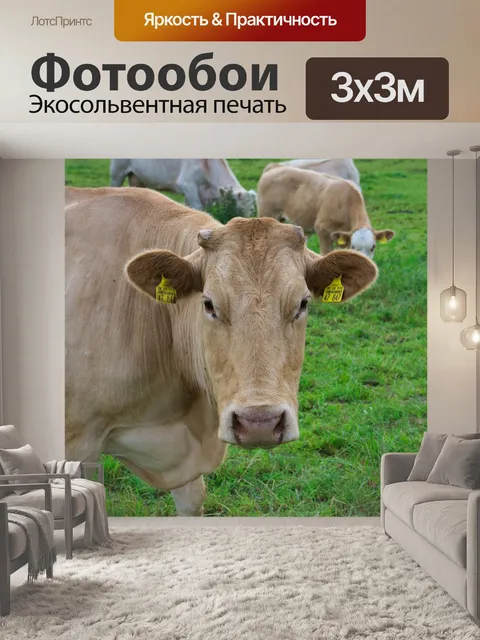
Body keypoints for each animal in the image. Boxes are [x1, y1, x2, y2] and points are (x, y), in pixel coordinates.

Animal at [109, 158, 257, 217]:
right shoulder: (188, 184)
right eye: (237, 208)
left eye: (252, 209)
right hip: (117, 172)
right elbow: (198, 208)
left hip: (136, 177)